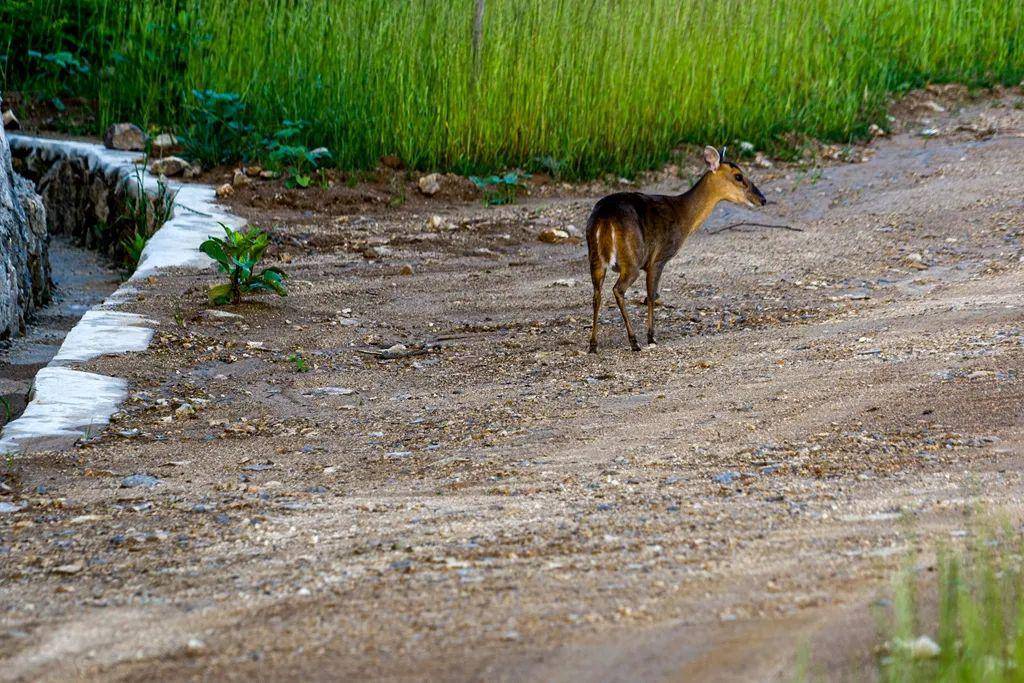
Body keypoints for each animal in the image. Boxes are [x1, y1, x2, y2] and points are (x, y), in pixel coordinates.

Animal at [589, 147, 765, 356]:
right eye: (738, 176)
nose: (762, 199)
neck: (683, 215)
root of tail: (605, 218)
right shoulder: (658, 258)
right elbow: (651, 296)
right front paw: (651, 337)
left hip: (595, 258)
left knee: (596, 295)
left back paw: (593, 344)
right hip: (632, 259)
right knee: (618, 290)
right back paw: (633, 342)